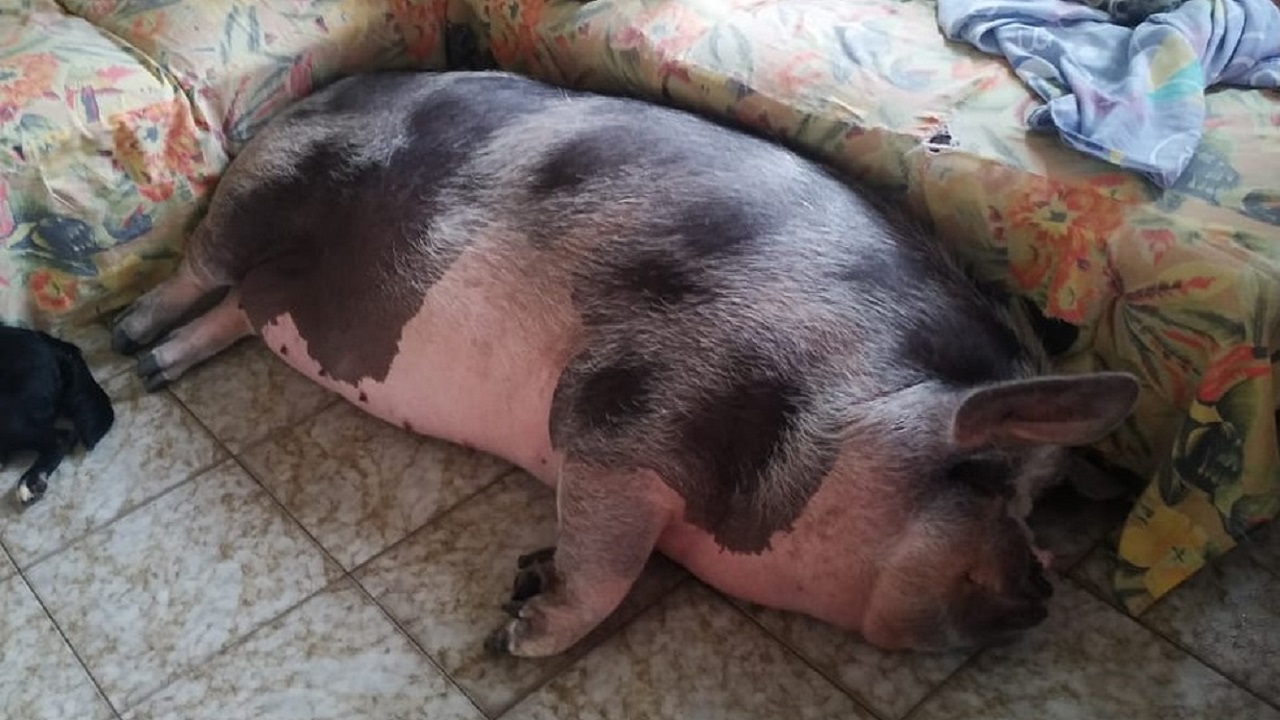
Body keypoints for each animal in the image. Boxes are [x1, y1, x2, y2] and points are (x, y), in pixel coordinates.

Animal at [111, 70, 1140, 658]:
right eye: (989, 478)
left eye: (1048, 499)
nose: (1046, 586)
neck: (859, 405)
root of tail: (309, 96)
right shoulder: (623, 409)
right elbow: (604, 558)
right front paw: (512, 642)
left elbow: (607, 554)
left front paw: (523, 584)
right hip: (260, 185)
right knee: (201, 262)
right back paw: (126, 338)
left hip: (275, 280)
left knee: (241, 309)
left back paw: (156, 365)